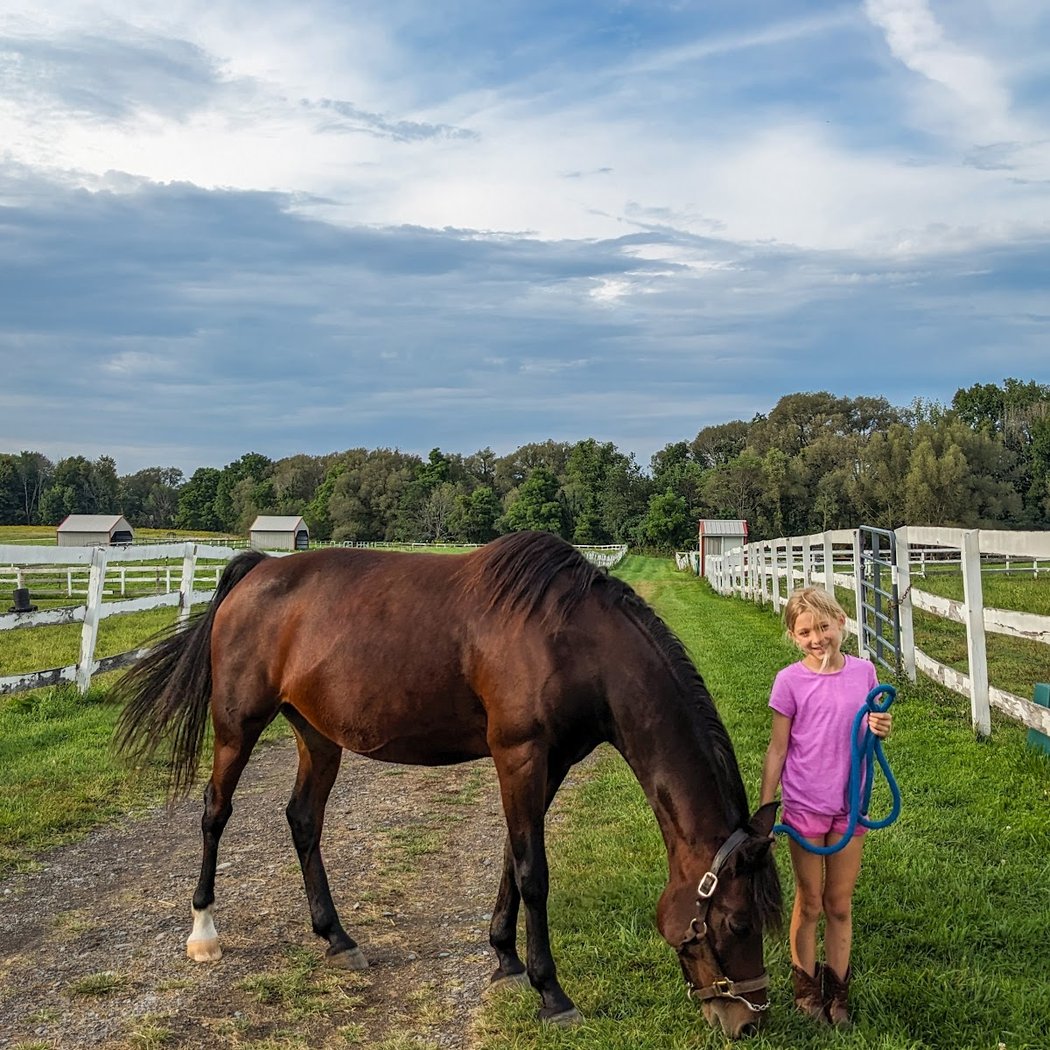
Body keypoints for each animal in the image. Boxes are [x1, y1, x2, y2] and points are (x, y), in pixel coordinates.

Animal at [113, 531, 782, 1038]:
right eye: (738, 924)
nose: (748, 1022)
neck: (575, 641)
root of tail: (258, 571)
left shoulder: (552, 763)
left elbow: (513, 859)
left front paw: (505, 957)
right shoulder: (519, 755)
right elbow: (533, 871)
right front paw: (551, 993)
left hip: (317, 735)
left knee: (303, 820)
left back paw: (337, 938)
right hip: (237, 726)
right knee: (214, 813)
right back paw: (204, 933)